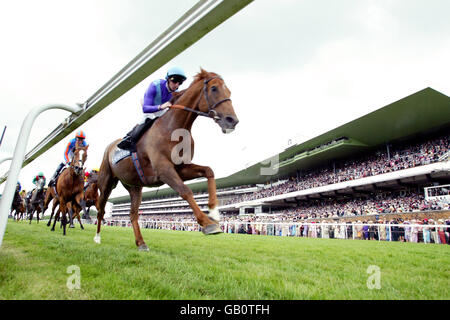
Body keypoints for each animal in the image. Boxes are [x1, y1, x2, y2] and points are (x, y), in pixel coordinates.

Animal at [95, 69, 239, 250]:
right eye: (214, 88)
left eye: (230, 91)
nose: (232, 120)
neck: (174, 128)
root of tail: (110, 147)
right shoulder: (163, 170)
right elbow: (185, 191)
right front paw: (208, 223)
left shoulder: (181, 168)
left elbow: (208, 171)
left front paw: (213, 212)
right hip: (106, 182)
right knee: (101, 209)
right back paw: (97, 237)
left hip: (135, 186)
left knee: (133, 214)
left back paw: (141, 243)